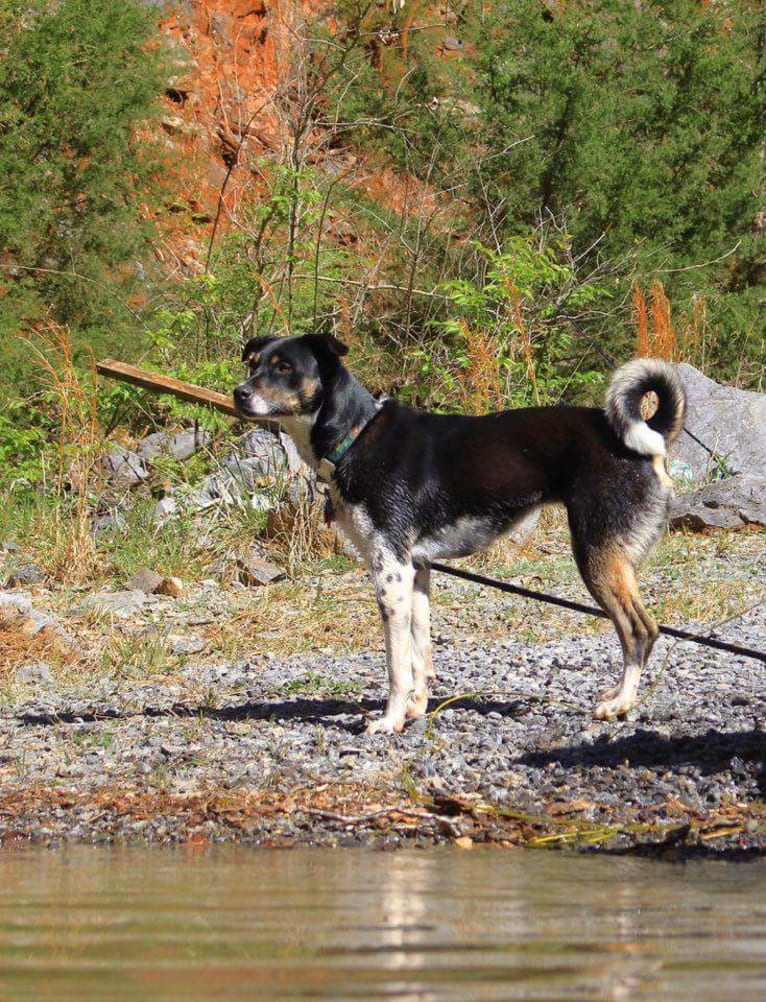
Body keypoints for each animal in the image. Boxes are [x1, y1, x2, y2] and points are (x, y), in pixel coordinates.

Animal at [230, 332, 685, 733]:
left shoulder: (389, 571)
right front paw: (415, 709)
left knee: (640, 630)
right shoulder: (416, 570)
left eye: (284, 368)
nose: (239, 393)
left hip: (596, 556)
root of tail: (649, 435)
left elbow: (396, 664)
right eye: (254, 364)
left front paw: (390, 721)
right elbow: (419, 653)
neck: (356, 435)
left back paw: (620, 702)